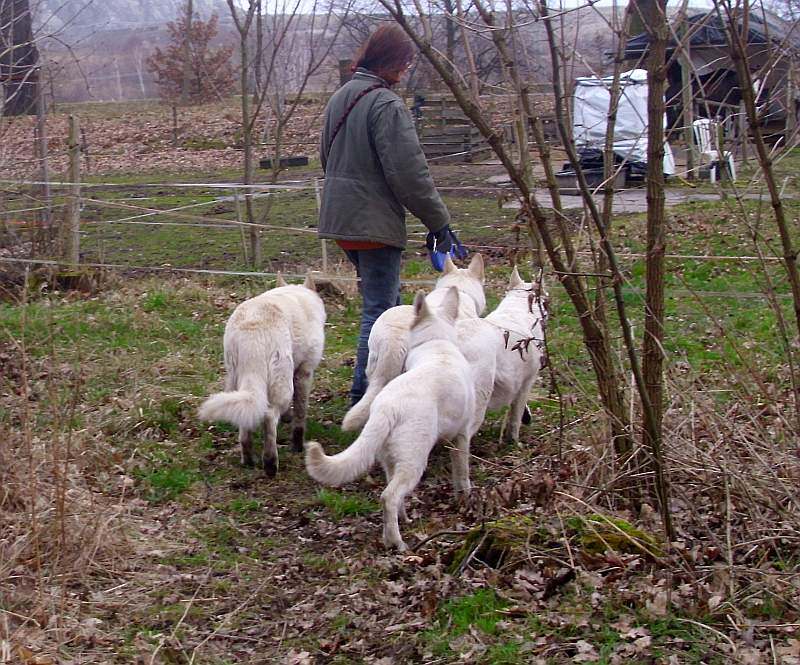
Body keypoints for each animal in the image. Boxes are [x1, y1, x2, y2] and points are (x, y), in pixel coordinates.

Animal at [198, 274, 324, 478]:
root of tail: (252, 333)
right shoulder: (304, 373)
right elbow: (300, 414)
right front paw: (297, 445)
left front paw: (287, 418)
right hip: (283, 384)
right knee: (269, 418)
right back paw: (271, 464)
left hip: (237, 382)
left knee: (245, 424)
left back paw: (248, 460)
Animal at [304, 288, 472, 552]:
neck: (437, 346)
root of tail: (387, 408)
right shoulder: (462, 436)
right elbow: (462, 474)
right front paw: (464, 499)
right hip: (413, 462)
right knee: (389, 496)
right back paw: (397, 542)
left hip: (391, 459)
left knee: (393, 494)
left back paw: (403, 522)